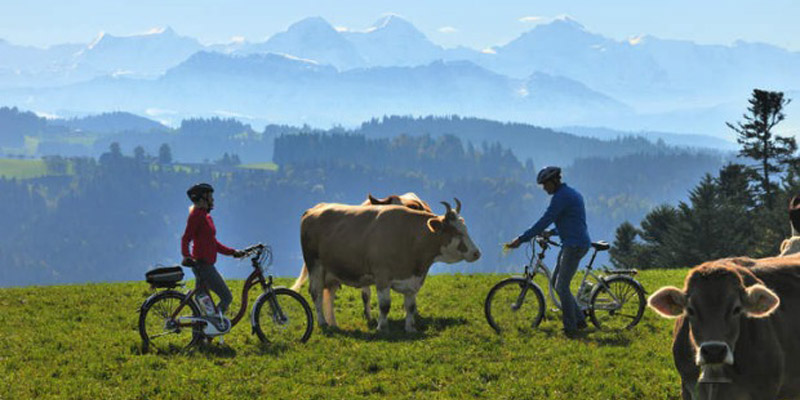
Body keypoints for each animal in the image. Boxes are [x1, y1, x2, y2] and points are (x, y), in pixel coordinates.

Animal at [296, 198, 478, 332]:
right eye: (455, 231)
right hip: (315, 265)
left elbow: (410, 306)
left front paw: (410, 328)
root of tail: (314, 209)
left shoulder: (411, 281)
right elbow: (384, 305)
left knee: (330, 294)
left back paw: (333, 323)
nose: (477, 253)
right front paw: (382, 327)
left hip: (332, 270)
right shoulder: (382, 275)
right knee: (317, 293)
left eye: (465, 229)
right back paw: (322, 323)